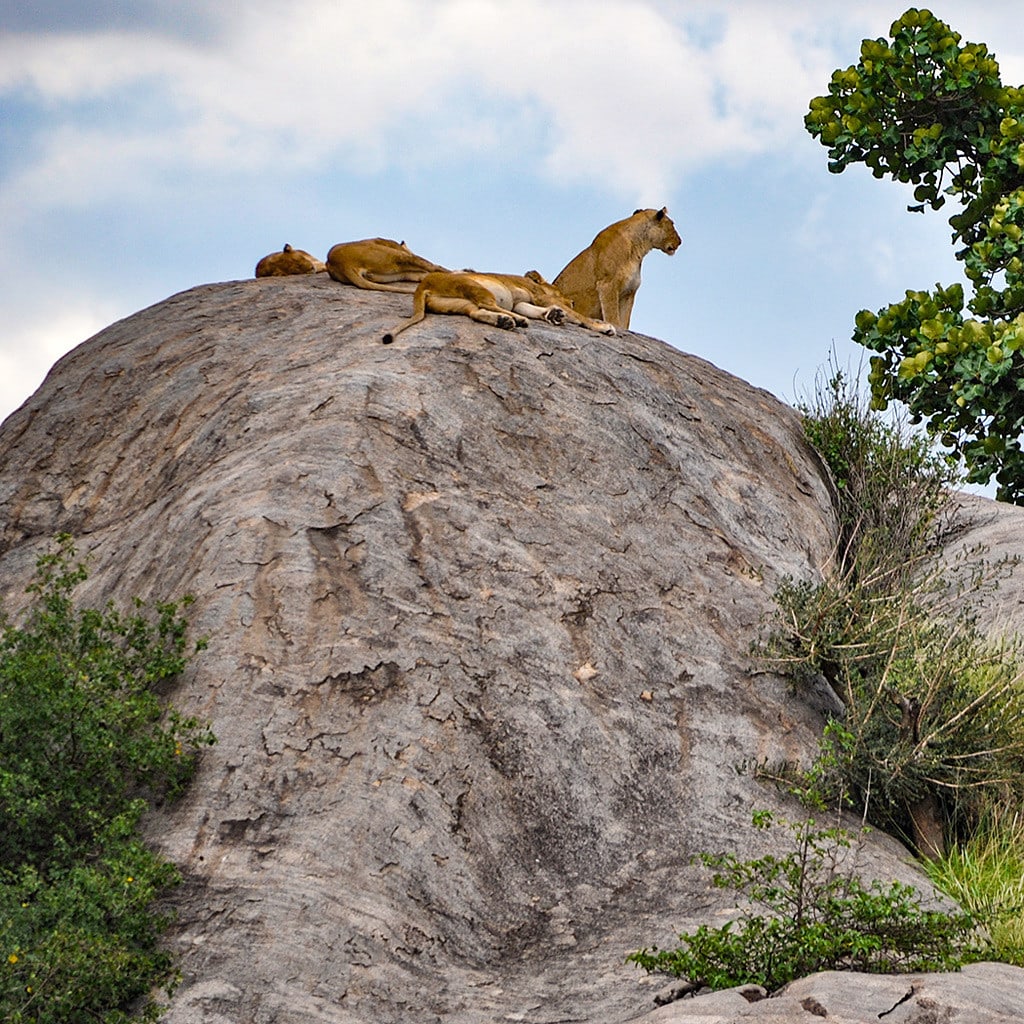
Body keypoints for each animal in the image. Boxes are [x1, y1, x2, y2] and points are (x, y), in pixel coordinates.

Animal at [382, 270, 616, 344]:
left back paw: (504, 321)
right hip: (474, 286)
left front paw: (554, 315)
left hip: (458, 302)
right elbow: (579, 316)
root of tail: (422, 286)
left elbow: (532, 309)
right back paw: (517, 320)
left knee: (476, 312)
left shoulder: (523, 302)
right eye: (570, 300)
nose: (571, 302)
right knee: (486, 304)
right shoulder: (541, 297)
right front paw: (602, 326)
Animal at [552, 208, 681, 329]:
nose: (680, 241)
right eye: (672, 224)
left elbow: (624, 322)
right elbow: (613, 317)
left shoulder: (629, 292)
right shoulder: (607, 285)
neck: (639, 248)